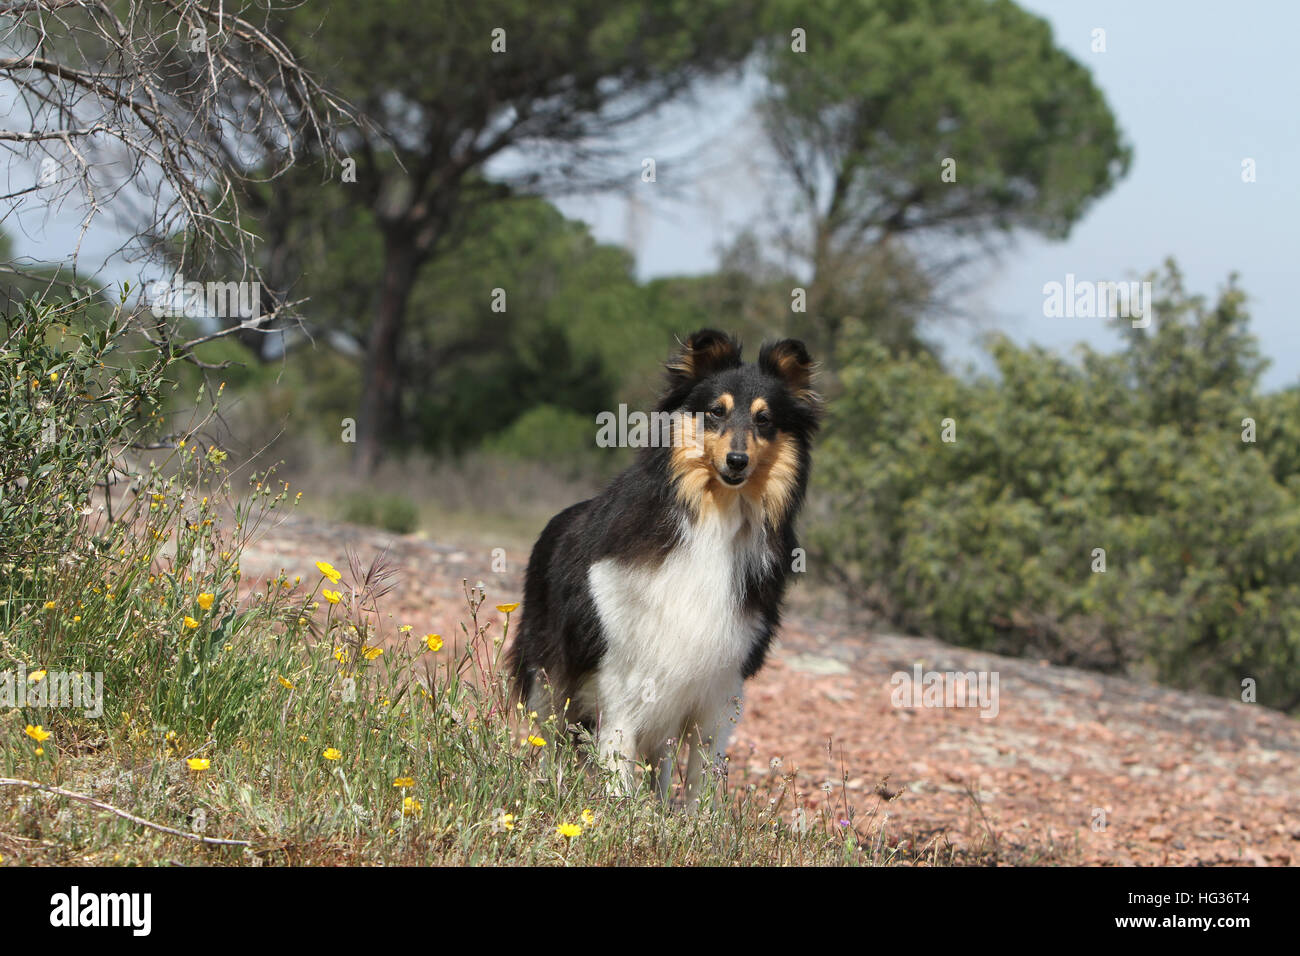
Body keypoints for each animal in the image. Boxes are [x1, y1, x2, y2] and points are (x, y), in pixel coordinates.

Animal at [501, 332, 816, 806]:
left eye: (765, 420)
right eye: (716, 411)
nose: (737, 461)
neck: (714, 517)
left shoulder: (721, 684)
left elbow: (704, 771)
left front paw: (697, 819)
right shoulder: (623, 674)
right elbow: (617, 754)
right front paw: (619, 810)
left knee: (661, 760)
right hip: (548, 669)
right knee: (550, 736)